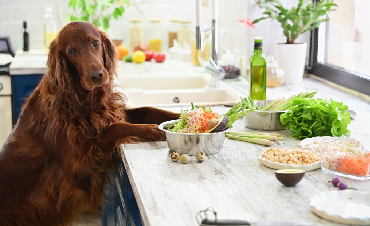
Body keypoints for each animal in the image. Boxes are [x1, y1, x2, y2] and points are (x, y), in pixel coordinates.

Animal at [0, 21, 179, 226]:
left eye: (95, 42)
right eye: (72, 51)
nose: (97, 75)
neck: (81, 99)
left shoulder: (110, 112)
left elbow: (147, 109)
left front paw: (182, 114)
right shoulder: (79, 167)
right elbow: (114, 128)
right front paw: (153, 130)